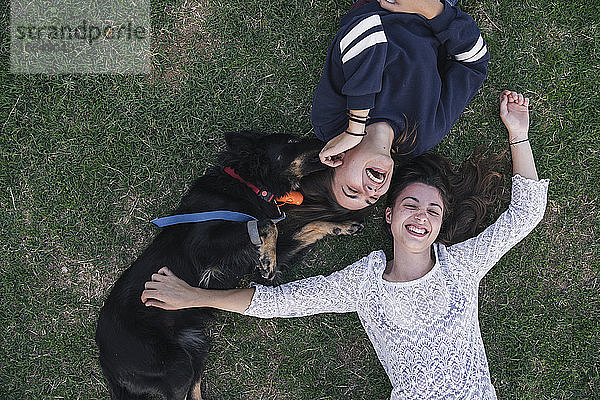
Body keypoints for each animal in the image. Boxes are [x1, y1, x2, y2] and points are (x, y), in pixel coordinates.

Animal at [95, 131, 364, 400]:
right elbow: (265, 224)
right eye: (291, 142)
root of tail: (105, 362)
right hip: (175, 366)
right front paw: (268, 259)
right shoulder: (204, 243)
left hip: (195, 349)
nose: (329, 141)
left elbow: (307, 227)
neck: (251, 185)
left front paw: (343, 226)